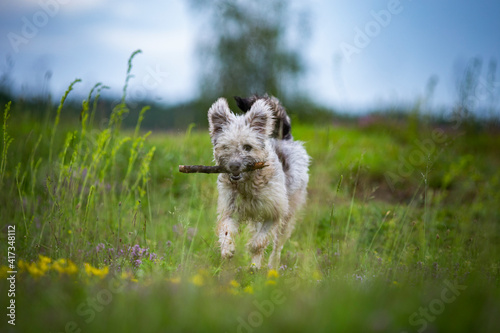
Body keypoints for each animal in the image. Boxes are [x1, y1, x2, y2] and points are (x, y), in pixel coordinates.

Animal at [206, 94, 308, 268]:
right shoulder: (230, 209)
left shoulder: (274, 212)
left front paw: (253, 256)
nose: (234, 166)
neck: (248, 184)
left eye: (247, 147)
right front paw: (228, 249)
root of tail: (285, 137)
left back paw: (270, 266)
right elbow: (226, 229)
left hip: (288, 215)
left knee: (277, 246)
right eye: (225, 147)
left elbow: (259, 242)